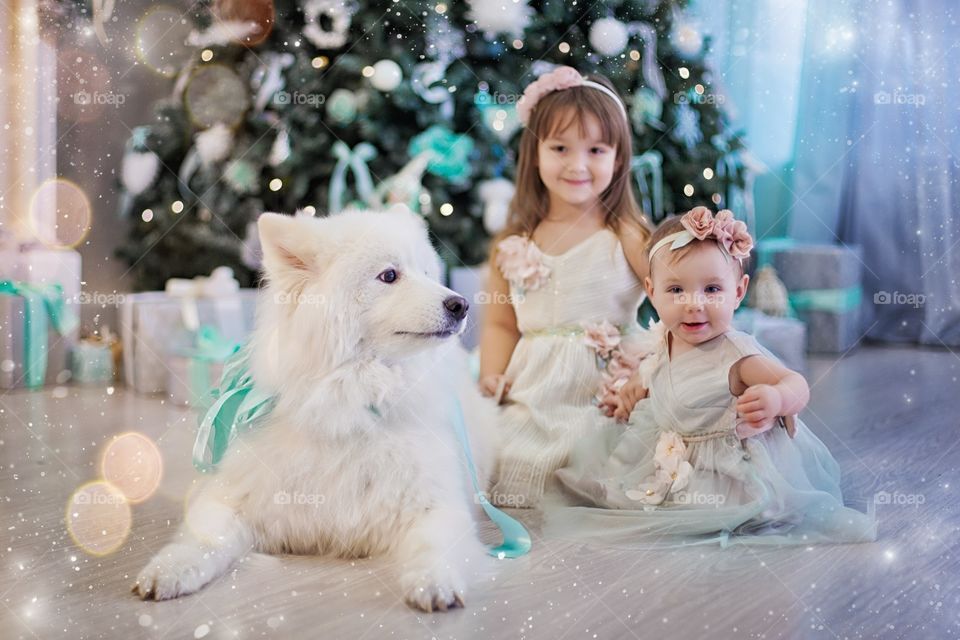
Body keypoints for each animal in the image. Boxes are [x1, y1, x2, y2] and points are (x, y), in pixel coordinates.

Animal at [136, 209, 502, 608]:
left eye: (427, 273)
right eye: (389, 275)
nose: (460, 304)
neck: (349, 403)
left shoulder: (436, 504)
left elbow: (434, 546)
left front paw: (433, 581)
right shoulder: (234, 496)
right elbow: (203, 538)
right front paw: (169, 570)